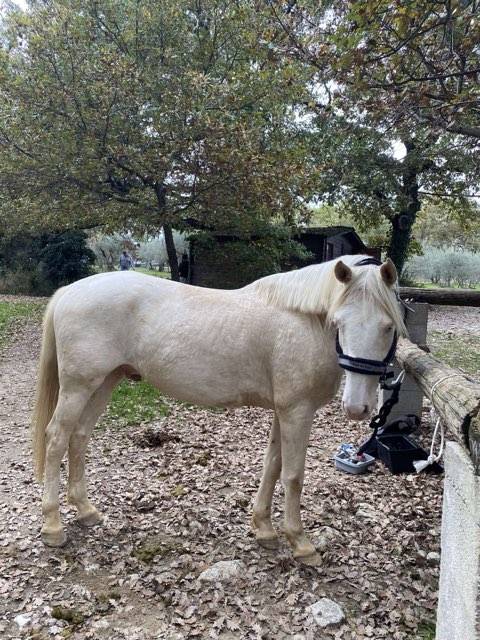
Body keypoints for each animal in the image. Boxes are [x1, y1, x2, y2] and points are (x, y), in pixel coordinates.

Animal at [31, 255, 405, 563]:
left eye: (388, 326)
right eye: (339, 322)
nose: (357, 407)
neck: (303, 322)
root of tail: (70, 291)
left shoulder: (283, 411)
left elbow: (272, 466)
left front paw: (264, 528)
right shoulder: (297, 411)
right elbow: (293, 475)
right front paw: (300, 542)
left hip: (104, 382)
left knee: (79, 437)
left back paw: (85, 511)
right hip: (79, 386)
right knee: (57, 439)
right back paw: (53, 526)